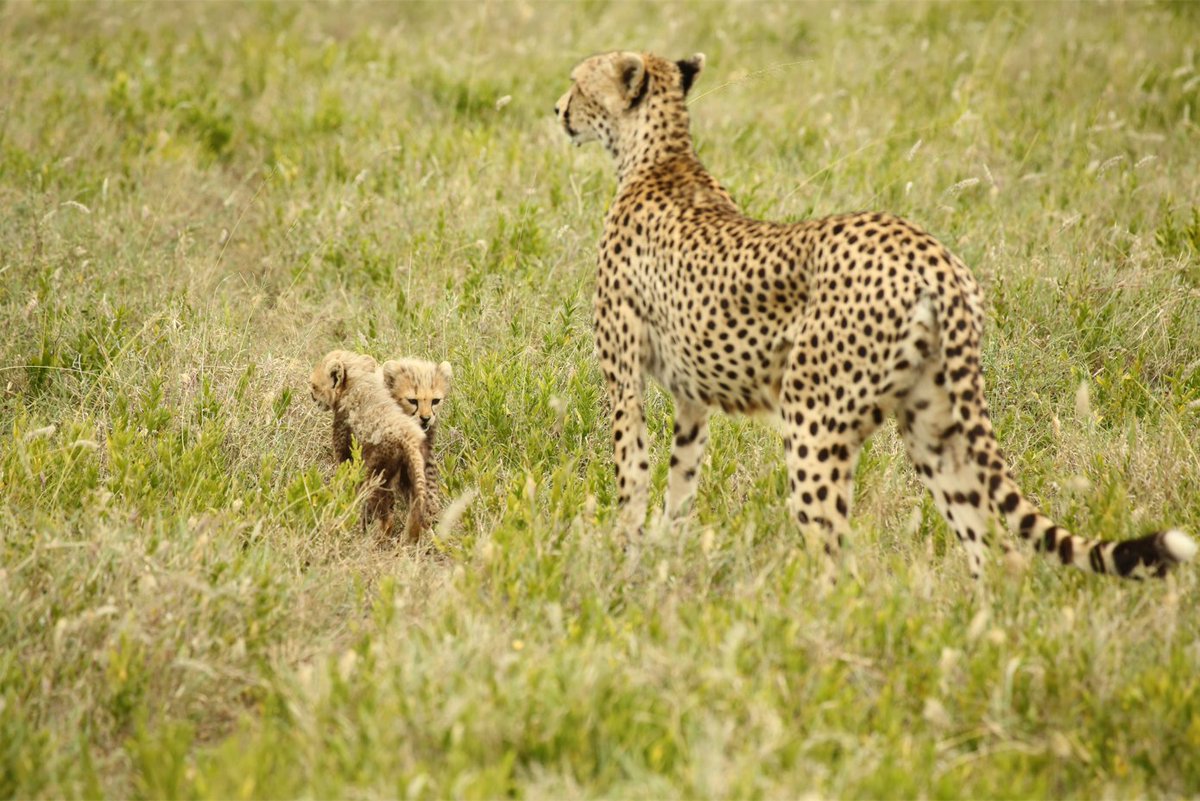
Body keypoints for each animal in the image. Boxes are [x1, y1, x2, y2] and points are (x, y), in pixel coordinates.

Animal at [554, 48, 1190, 575]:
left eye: (578, 83)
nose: (557, 109)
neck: (658, 157)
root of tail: (934, 257)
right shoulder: (692, 398)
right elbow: (681, 478)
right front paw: (665, 551)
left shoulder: (625, 377)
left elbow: (632, 470)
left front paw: (625, 553)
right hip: (935, 422)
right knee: (994, 546)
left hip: (813, 419)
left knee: (834, 548)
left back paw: (798, 624)